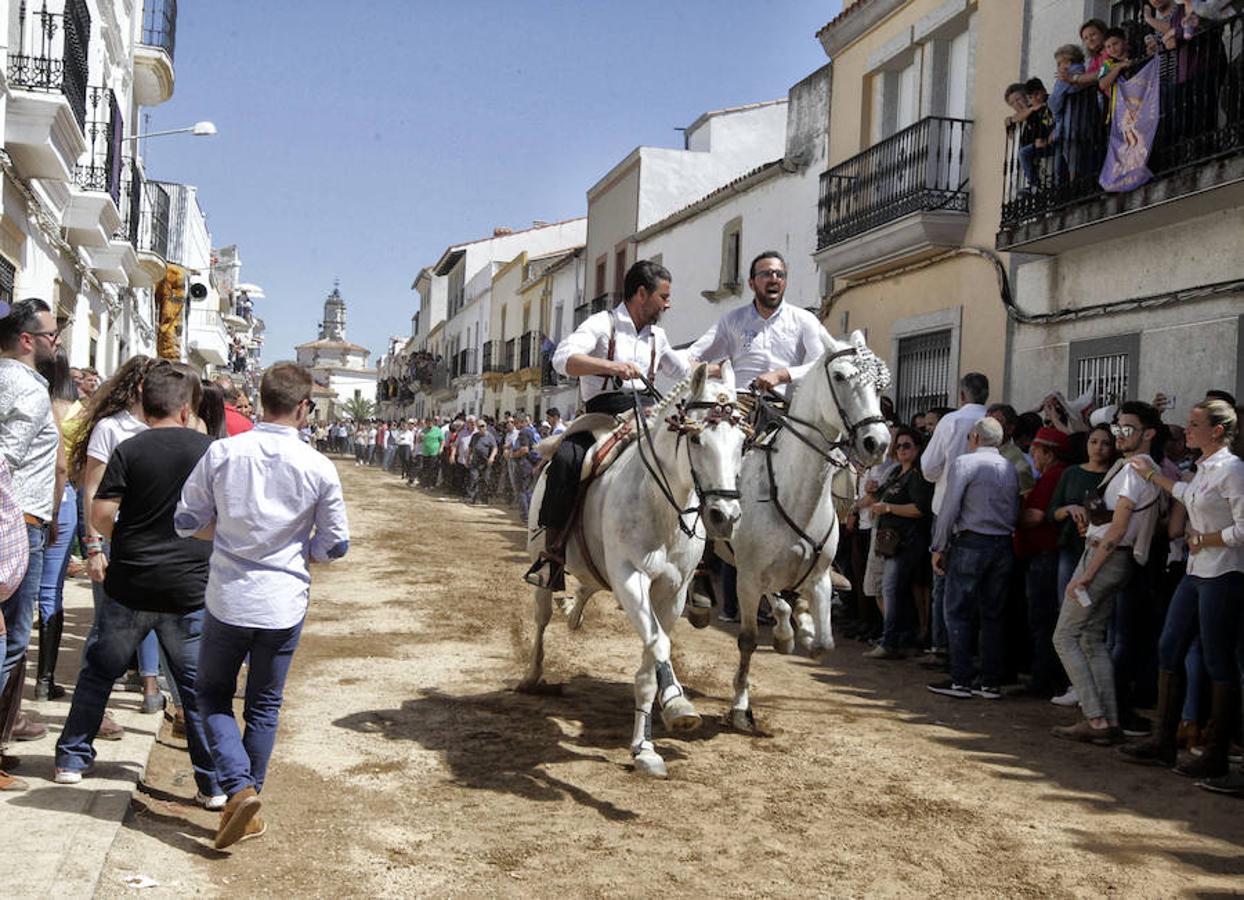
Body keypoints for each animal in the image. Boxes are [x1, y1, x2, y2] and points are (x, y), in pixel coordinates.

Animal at [517, 363, 741, 776]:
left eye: (741, 444)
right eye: (696, 439)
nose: (725, 516)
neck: (661, 506)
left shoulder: (672, 592)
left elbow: (651, 662)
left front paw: (648, 742)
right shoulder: (630, 578)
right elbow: (659, 644)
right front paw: (675, 708)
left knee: (587, 586)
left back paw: (573, 611)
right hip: (543, 564)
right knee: (541, 616)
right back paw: (532, 675)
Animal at [726, 331, 890, 731]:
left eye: (881, 385)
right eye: (841, 377)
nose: (877, 443)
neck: (791, 489)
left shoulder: (818, 576)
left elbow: (822, 645)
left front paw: (801, 629)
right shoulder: (748, 578)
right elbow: (748, 640)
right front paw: (740, 707)